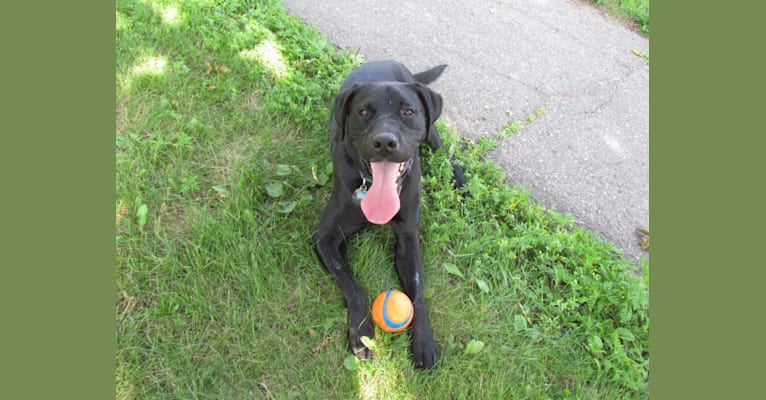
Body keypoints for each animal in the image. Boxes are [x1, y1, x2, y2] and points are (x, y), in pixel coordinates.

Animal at [312, 59, 468, 368]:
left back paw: (460, 180)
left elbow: (417, 291)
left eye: (407, 111)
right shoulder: (324, 238)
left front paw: (423, 342)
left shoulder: (408, 238)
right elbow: (351, 285)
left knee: (446, 149)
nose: (384, 142)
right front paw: (362, 334)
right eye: (363, 112)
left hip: (432, 134)